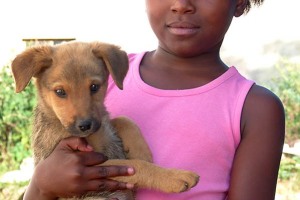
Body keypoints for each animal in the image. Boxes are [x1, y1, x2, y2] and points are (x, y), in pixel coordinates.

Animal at [11, 41, 199, 199]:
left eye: (94, 87)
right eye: (60, 92)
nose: (85, 126)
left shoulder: (102, 124)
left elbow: (121, 119)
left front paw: (140, 149)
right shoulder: (88, 166)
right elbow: (137, 166)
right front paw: (174, 177)